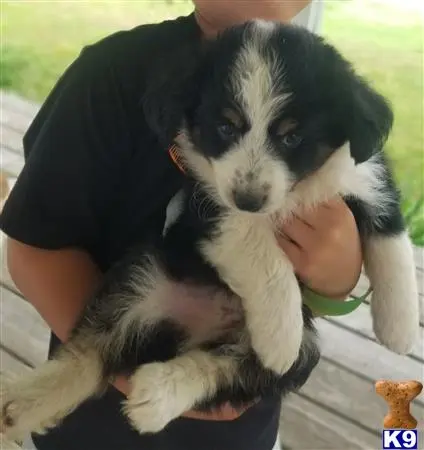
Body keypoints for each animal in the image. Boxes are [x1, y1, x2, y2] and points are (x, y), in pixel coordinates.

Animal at [0, 20, 420, 440]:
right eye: (225, 127)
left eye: (291, 136)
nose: (249, 198)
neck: (297, 190)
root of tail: (196, 328)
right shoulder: (210, 209)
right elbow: (265, 257)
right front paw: (281, 336)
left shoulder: (367, 180)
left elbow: (393, 245)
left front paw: (399, 331)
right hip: (140, 282)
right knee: (90, 353)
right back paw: (20, 406)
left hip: (306, 349)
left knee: (225, 368)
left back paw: (154, 396)